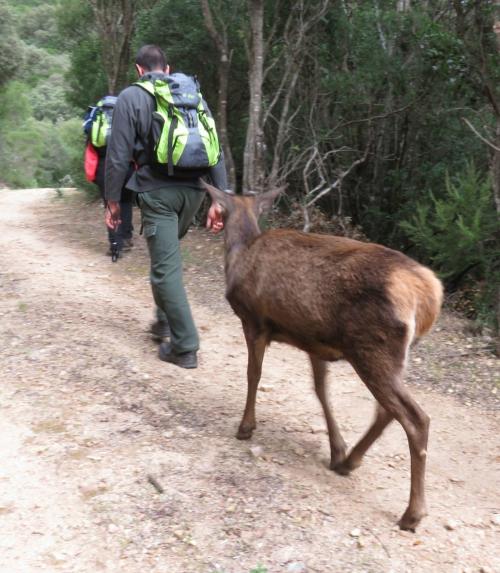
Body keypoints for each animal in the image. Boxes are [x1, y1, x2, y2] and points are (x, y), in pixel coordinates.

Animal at [201, 181, 444, 528]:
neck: (240, 253)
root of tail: (430, 297)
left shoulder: (254, 321)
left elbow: (253, 374)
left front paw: (246, 427)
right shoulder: (314, 341)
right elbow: (320, 389)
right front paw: (337, 450)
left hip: (373, 349)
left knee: (416, 419)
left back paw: (412, 514)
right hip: (392, 356)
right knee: (387, 411)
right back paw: (351, 461)